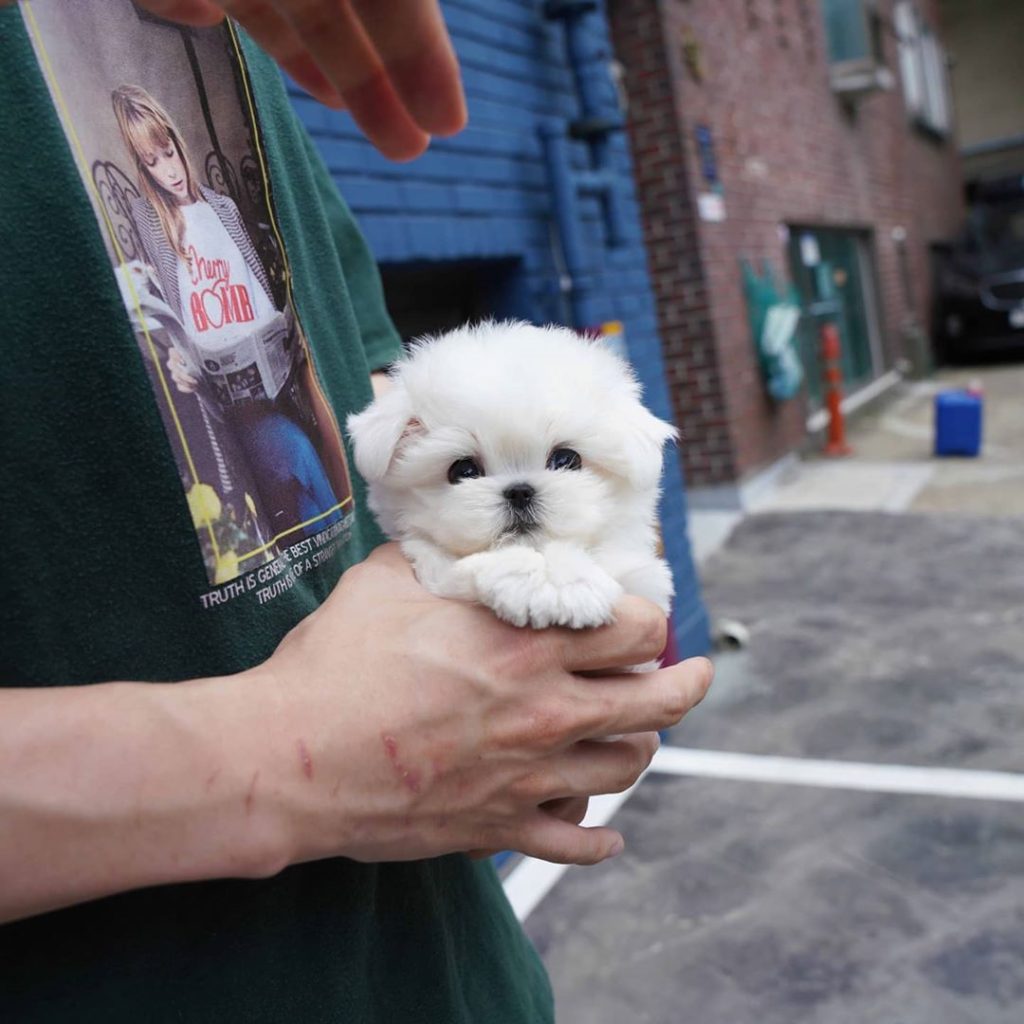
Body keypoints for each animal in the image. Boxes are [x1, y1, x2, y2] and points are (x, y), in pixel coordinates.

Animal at [348, 319, 675, 630]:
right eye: (463, 470)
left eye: (566, 459)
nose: (519, 491)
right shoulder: (432, 568)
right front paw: (537, 582)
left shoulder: (641, 575)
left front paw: (567, 581)